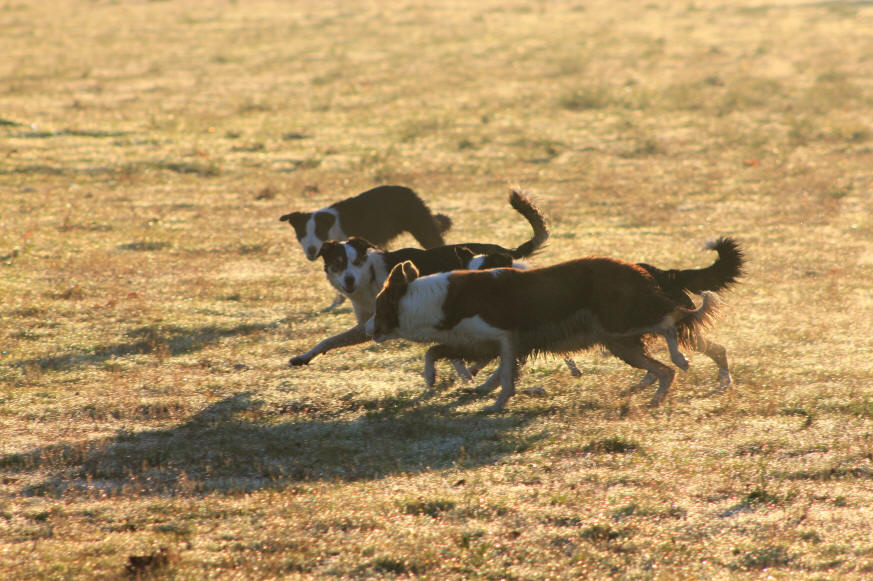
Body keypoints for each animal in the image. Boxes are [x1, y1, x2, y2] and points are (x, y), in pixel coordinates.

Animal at [286, 190, 548, 370]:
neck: (370, 279)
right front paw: (304, 357)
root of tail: (505, 251)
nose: (349, 280)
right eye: (338, 264)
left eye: (357, 262)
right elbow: (329, 340)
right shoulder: (368, 325)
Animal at [364, 258, 720, 412]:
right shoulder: (478, 344)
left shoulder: (506, 338)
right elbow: (435, 353)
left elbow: (506, 377)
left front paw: (495, 404)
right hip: (620, 343)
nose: (366, 330)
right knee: (663, 371)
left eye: (378, 308)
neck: (428, 300)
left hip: (620, 323)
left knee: (668, 325)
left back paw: (680, 357)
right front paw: (434, 379)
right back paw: (656, 400)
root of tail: (640, 271)